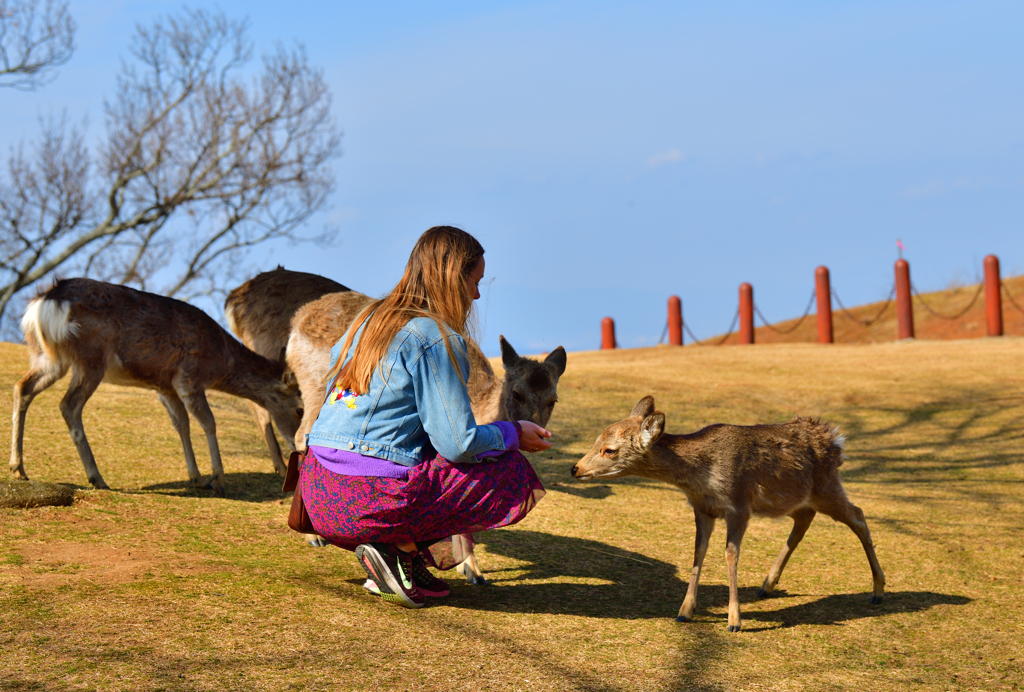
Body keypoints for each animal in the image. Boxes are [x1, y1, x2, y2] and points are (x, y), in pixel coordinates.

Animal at [12, 278, 301, 495]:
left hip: (48, 357)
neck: (221, 362)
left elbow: (182, 425)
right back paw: (97, 478)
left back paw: (18, 469)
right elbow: (208, 422)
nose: (299, 444)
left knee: (22, 387)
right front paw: (218, 480)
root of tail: (46, 301)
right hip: (90, 357)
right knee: (68, 405)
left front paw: (197, 478)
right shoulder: (188, 377)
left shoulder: (165, 386)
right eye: (300, 408)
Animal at [573, 395, 884, 630]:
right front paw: (684, 612)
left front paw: (734, 621)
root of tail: (836, 439)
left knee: (858, 516)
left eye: (609, 449)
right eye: (597, 440)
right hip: (799, 498)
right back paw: (767, 586)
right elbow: (698, 551)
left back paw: (878, 591)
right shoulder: (702, 508)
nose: (575, 468)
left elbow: (731, 554)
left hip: (827, 487)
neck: (701, 476)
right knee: (804, 520)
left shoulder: (739, 506)